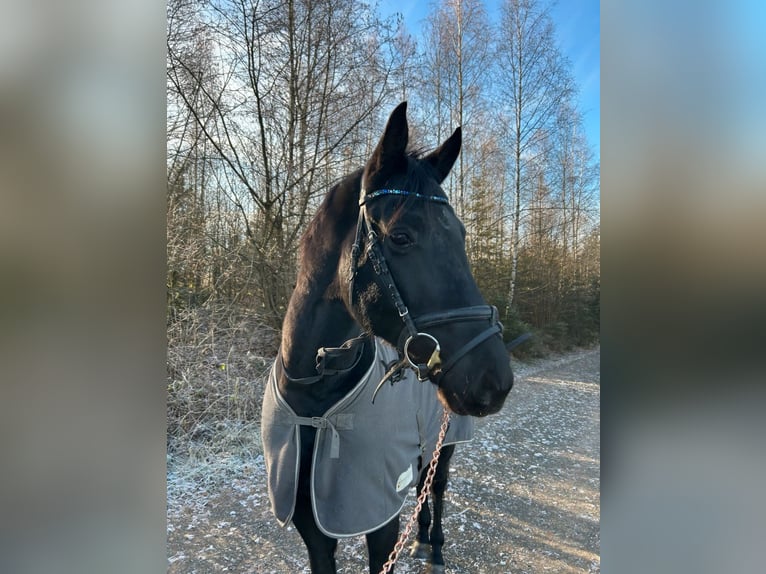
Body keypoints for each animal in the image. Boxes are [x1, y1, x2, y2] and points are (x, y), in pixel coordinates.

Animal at [260, 102, 514, 574]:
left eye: (462, 236)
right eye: (400, 237)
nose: (494, 380)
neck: (315, 398)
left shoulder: (380, 522)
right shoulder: (314, 529)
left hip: (444, 440)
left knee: (436, 485)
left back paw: (434, 545)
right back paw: (421, 538)